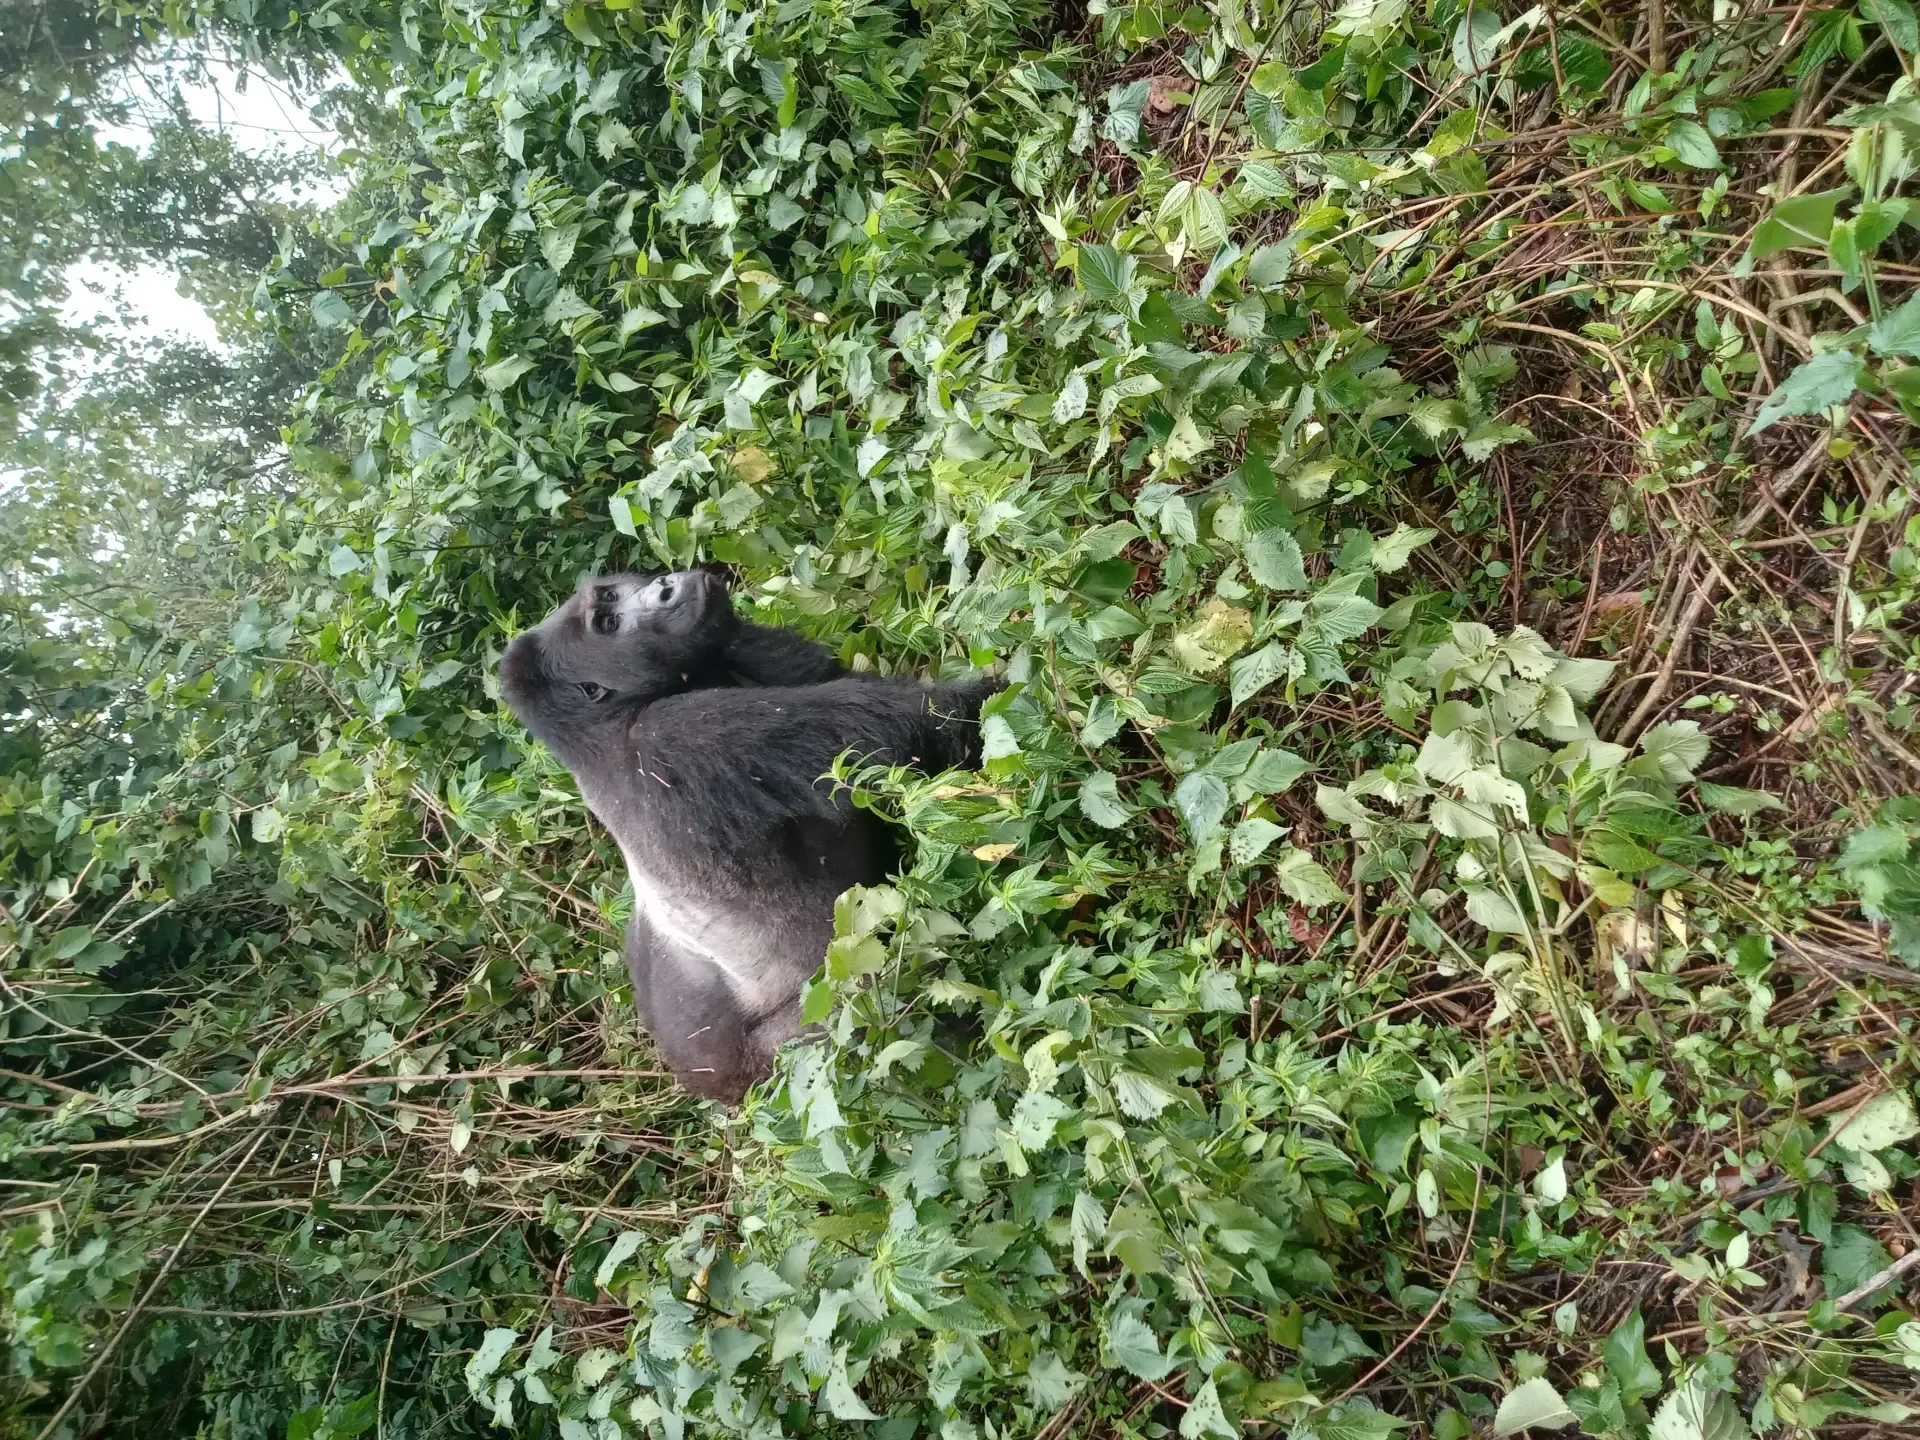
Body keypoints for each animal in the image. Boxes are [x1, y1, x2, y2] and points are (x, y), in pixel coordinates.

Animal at [496, 569, 993, 1102]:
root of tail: (710, 1085)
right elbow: (907, 730)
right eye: (607, 622)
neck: (598, 728)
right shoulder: (672, 739)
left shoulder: (742, 646)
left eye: (612, 597)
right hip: (793, 1056)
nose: (668, 584)